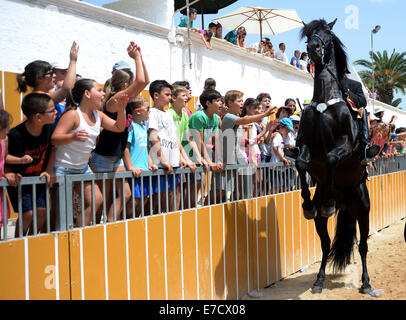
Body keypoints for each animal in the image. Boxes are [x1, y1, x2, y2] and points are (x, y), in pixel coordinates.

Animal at [296, 18, 372, 296]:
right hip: (324, 220)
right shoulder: (307, 146)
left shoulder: (345, 146)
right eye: (309, 34)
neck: (324, 100)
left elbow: (330, 159)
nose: (313, 49)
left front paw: (328, 200)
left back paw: (366, 282)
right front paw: (308, 203)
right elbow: (300, 163)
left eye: (327, 34)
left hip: (363, 208)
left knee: (363, 245)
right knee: (326, 245)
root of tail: (346, 201)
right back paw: (318, 281)